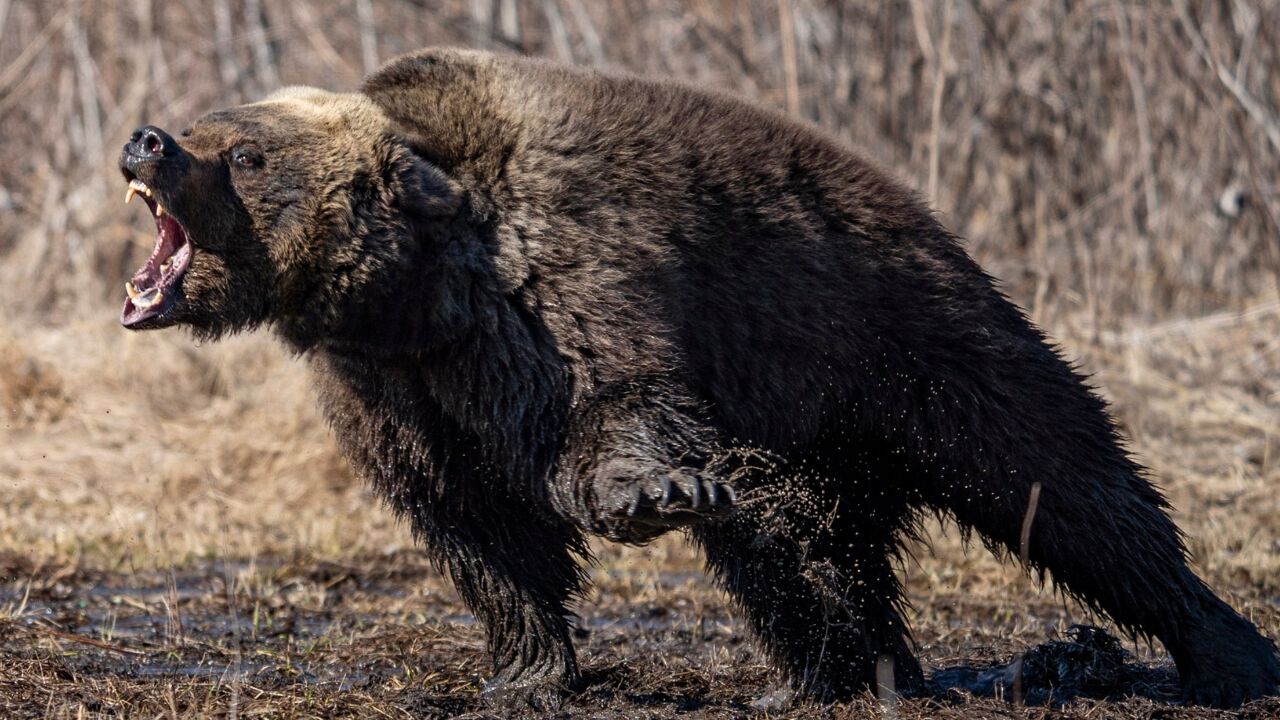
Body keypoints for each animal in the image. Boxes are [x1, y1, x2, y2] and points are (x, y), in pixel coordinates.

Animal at [115, 49, 1274, 707]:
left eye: (246, 153)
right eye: (211, 123)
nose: (147, 140)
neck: (411, 294)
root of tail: (921, 209)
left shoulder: (561, 283)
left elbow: (615, 409)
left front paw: (648, 492)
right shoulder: (392, 388)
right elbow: (474, 523)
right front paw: (522, 669)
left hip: (903, 337)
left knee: (1062, 483)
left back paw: (1221, 651)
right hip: (809, 416)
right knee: (800, 545)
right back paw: (843, 672)